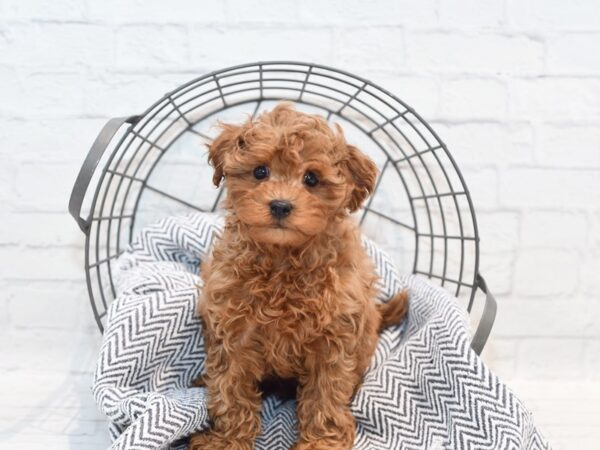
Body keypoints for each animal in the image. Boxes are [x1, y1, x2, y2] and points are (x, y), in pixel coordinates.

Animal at [191, 103, 408, 448]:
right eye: (260, 172)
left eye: (312, 178)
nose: (280, 205)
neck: (283, 262)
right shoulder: (232, 331)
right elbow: (230, 389)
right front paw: (227, 439)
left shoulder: (334, 339)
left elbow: (325, 395)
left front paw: (322, 441)